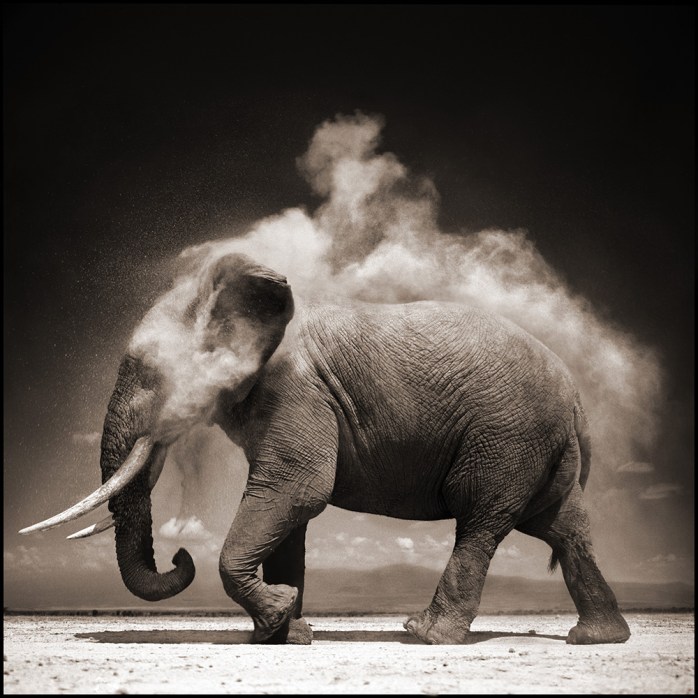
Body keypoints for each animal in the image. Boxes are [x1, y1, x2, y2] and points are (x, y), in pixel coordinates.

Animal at [21, 252, 631, 646]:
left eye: (149, 373)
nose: (179, 556)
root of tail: (576, 398)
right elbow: (290, 513)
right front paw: (285, 633)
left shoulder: (297, 392)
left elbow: (298, 490)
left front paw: (278, 617)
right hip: (538, 446)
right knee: (563, 528)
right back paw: (596, 639)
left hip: (507, 436)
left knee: (482, 522)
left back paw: (425, 635)